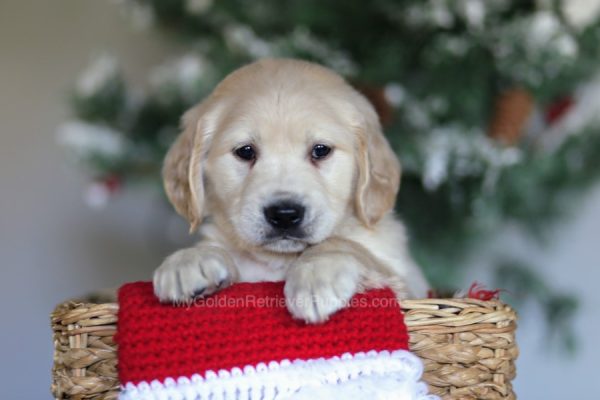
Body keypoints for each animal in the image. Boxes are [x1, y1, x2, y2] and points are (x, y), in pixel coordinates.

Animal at [152, 58, 428, 322]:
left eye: (320, 150)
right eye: (245, 151)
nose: (284, 214)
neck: (279, 261)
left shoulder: (410, 284)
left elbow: (341, 243)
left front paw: (315, 275)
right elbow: (220, 249)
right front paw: (189, 259)